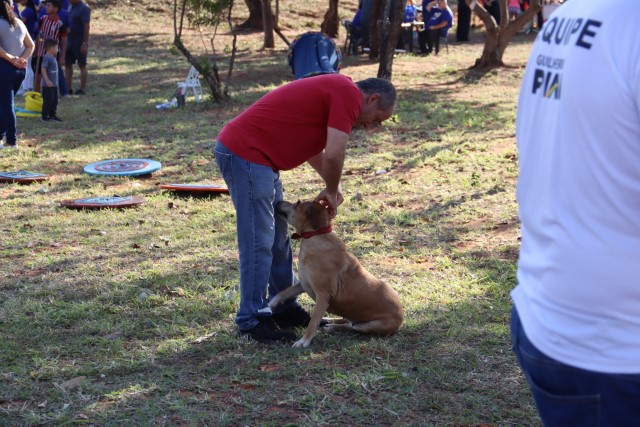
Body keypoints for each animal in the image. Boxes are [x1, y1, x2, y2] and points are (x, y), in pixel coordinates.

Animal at [268, 200, 403, 347]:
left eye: (298, 203)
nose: (278, 201)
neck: (316, 235)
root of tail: (401, 316)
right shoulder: (304, 284)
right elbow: (285, 292)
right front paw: (272, 303)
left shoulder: (323, 295)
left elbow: (312, 323)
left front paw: (304, 341)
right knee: (346, 321)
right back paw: (329, 320)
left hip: (370, 325)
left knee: (351, 327)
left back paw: (333, 327)